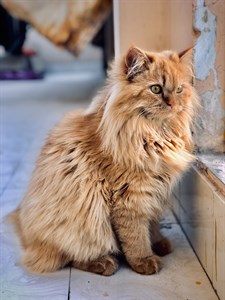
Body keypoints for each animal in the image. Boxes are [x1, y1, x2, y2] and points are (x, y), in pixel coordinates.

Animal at [11, 46, 199, 276]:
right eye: (156, 89)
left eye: (179, 89)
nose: (172, 104)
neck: (155, 134)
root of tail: (26, 232)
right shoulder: (130, 196)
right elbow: (135, 236)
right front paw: (144, 260)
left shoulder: (156, 193)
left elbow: (152, 224)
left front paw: (159, 244)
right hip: (82, 223)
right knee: (70, 258)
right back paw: (105, 263)